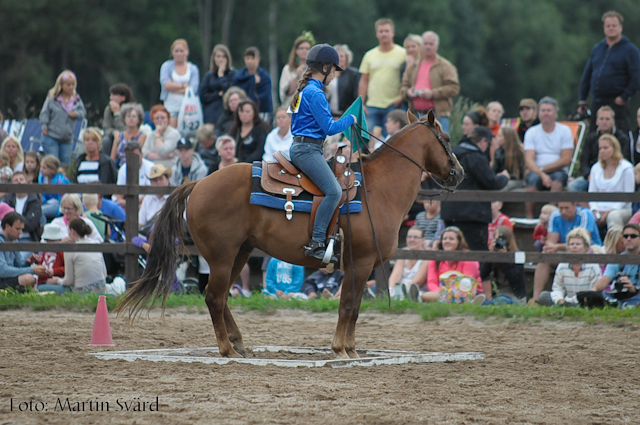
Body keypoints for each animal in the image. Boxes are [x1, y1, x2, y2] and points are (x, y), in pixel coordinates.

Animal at [116, 109, 464, 358]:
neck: (378, 189)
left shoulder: (361, 266)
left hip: (239, 253)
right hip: (222, 255)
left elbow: (354, 307)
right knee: (214, 296)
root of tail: (199, 183)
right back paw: (228, 349)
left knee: (223, 296)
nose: (459, 173)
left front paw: (351, 349)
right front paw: (341, 350)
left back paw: (239, 343)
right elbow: (348, 306)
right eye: (446, 138)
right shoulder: (361, 263)